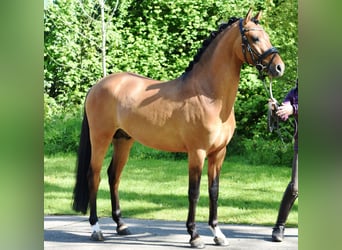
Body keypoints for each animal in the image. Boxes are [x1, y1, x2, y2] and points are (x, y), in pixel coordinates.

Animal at [73, 8, 284, 248]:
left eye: (267, 35)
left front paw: (218, 233)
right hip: (101, 138)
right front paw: (194, 235)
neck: (209, 96)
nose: (279, 67)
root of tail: (97, 86)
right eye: (255, 38)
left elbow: (214, 191)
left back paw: (121, 225)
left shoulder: (219, 153)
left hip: (123, 140)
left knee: (113, 176)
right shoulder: (197, 152)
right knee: (94, 175)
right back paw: (96, 228)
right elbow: (194, 192)